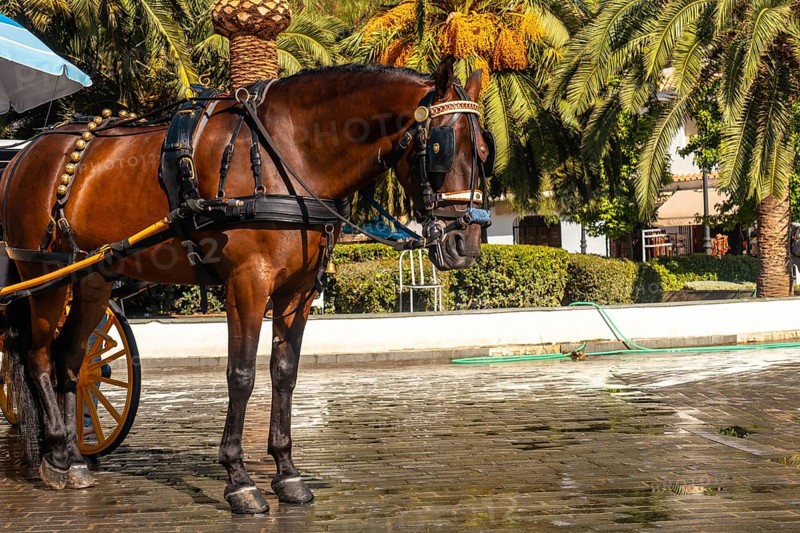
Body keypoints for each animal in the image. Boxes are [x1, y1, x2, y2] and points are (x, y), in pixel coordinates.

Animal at [0, 57, 492, 513]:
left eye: (484, 151)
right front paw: (239, 480)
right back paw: (56, 454)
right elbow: (241, 375)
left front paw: (287, 474)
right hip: (44, 274)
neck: (289, 152)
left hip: (91, 278)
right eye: (442, 146)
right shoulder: (247, 284)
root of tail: (28, 151)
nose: (465, 243)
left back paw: (72, 458)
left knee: (69, 359)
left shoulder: (298, 291)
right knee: (37, 355)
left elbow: (285, 373)